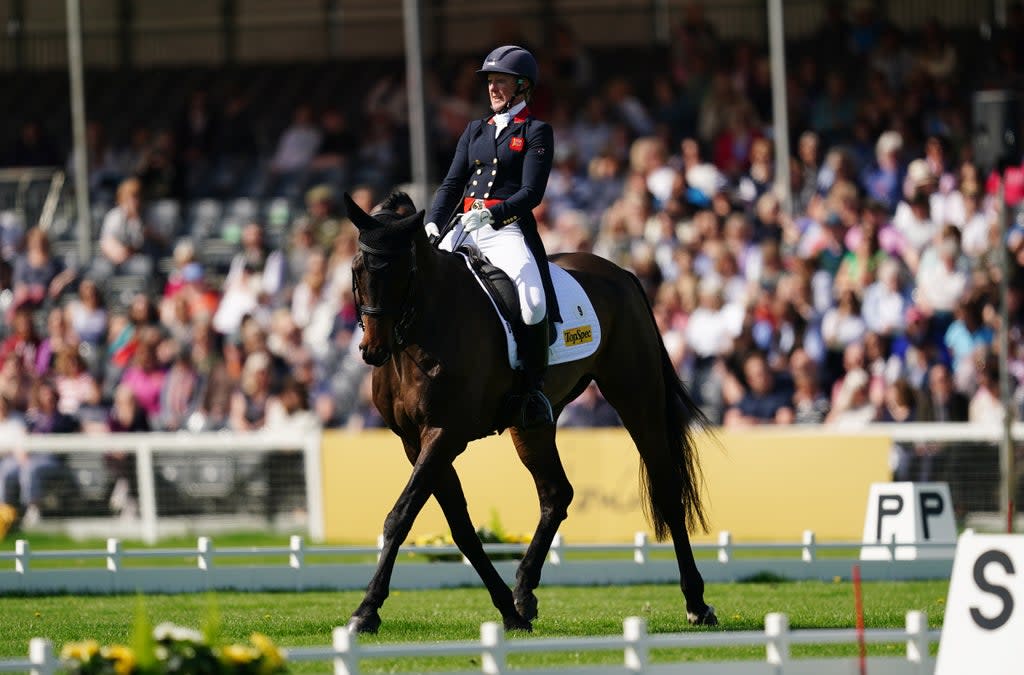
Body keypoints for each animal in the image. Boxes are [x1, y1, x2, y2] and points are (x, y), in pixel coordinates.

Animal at [344, 190, 720, 635]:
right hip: (533, 424)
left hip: (636, 395)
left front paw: (366, 610)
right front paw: (508, 609)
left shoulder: (445, 433)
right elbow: (461, 528)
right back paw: (524, 594)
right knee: (556, 493)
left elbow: (401, 516)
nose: (373, 349)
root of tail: (620, 273)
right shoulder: (414, 441)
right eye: (357, 269)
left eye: (403, 270)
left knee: (666, 488)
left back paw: (697, 603)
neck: (421, 334)